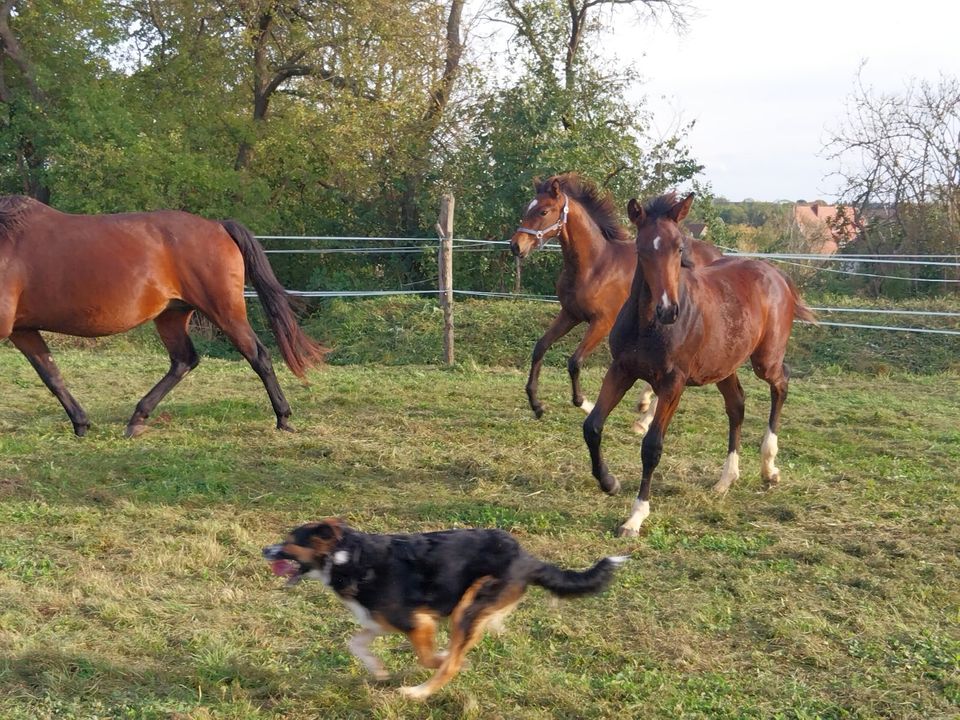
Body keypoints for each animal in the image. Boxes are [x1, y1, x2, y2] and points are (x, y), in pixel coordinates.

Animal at [0, 194, 326, 436]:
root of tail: (218, 226)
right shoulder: (22, 330)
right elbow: (51, 374)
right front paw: (81, 424)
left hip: (224, 311)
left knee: (258, 355)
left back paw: (283, 418)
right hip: (172, 315)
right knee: (184, 360)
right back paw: (137, 419)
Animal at [260, 516, 632, 696]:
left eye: (291, 541)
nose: (265, 549)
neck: (347, 556)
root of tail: (527, 559)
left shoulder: (418, 621)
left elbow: (430, 658)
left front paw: (440, 659)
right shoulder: (379, 620)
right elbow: (354, 643)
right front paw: (378, 670)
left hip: (469, 607)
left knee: (450, 663)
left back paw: (418, 692)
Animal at [510, 175, 720, 430]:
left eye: (543, 211)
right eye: (526, 209)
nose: (516, 246)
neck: (596, 265)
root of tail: (718, 255)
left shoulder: (602, 322)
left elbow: (575, 361)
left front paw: (584, 403)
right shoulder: (570, 314)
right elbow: (540, 347)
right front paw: (536, 404)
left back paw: (644, 419)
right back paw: (643, 407)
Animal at [580, 191, 812, 536]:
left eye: (679, 248)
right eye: (641, 248)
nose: (668, 310)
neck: (648, 326)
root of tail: (777, 274)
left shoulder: (672, 383)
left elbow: (652, 447)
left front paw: (635, 517)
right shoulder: (621, 369)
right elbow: (592, 426)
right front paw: (609, 482)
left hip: (765, 360)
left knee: (781, 383)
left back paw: (769, 467)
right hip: (724, 365)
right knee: (737, 405)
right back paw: (726, 479)